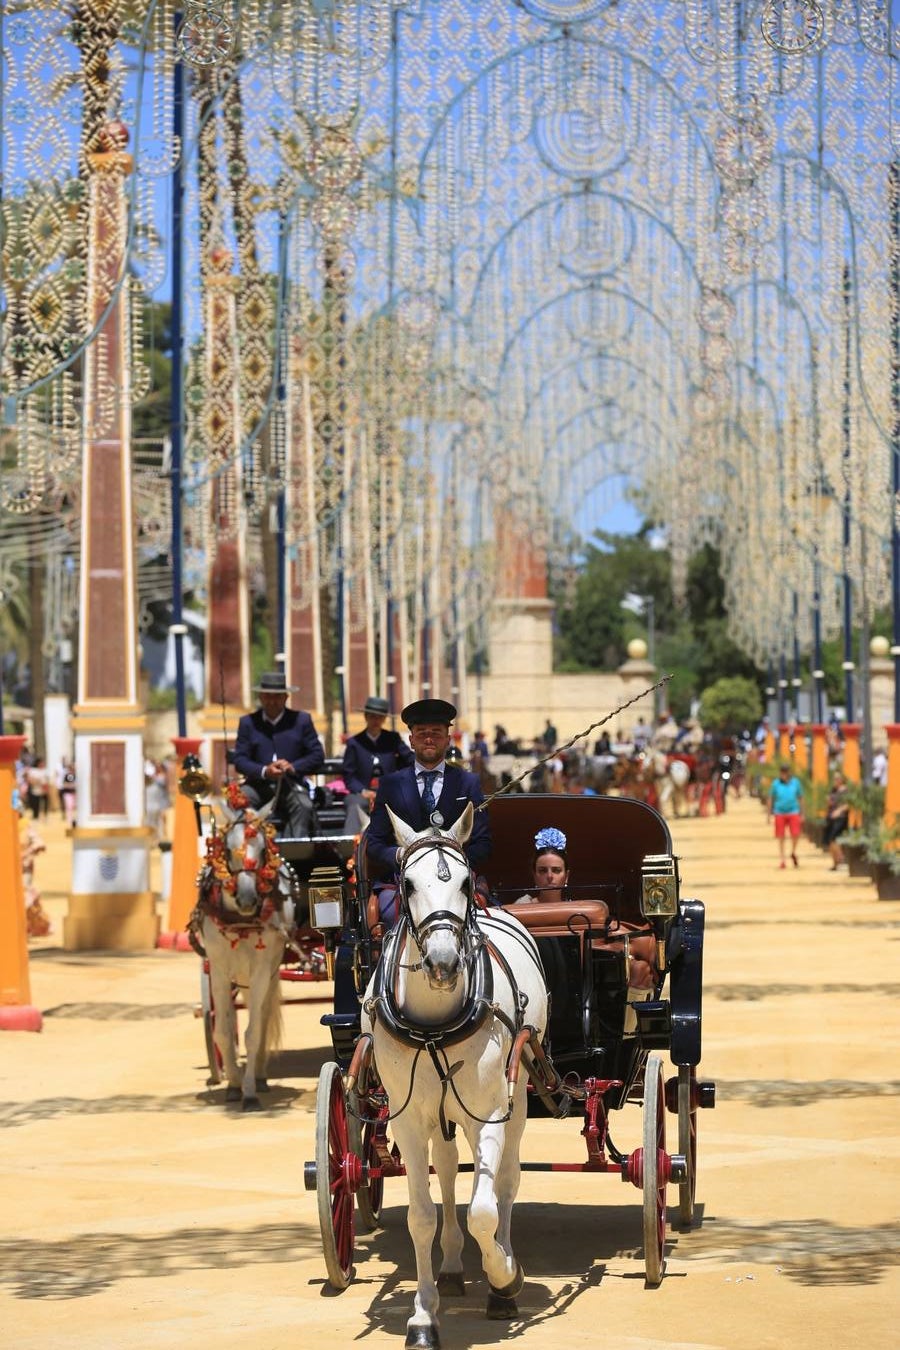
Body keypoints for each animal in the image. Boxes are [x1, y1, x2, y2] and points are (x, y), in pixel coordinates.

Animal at [191, 788, 295, 1107]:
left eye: (262, 850)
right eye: (227, 849)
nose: (248, 899)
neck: (240, 921)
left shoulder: (261, 969)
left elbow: (252, 1032)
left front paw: (248, 1091)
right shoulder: (219, 971)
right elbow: (223, 1032)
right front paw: (233, 1084)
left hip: (266, 972)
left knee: (261, 1018)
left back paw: (259, 1077)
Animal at [361, 804, 550, 1344]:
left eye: (466, 882)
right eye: (406, 883)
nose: (443, 963)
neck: (433, 1026)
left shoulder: (487, 1113)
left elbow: (484, 1210)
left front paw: (505, 1278)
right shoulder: (407, 1120)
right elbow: (422, 1216)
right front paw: (424, 1315)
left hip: (516, 1098)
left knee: (505, 1182)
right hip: (439, 1113)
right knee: (446, 1172)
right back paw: (449, 1268)